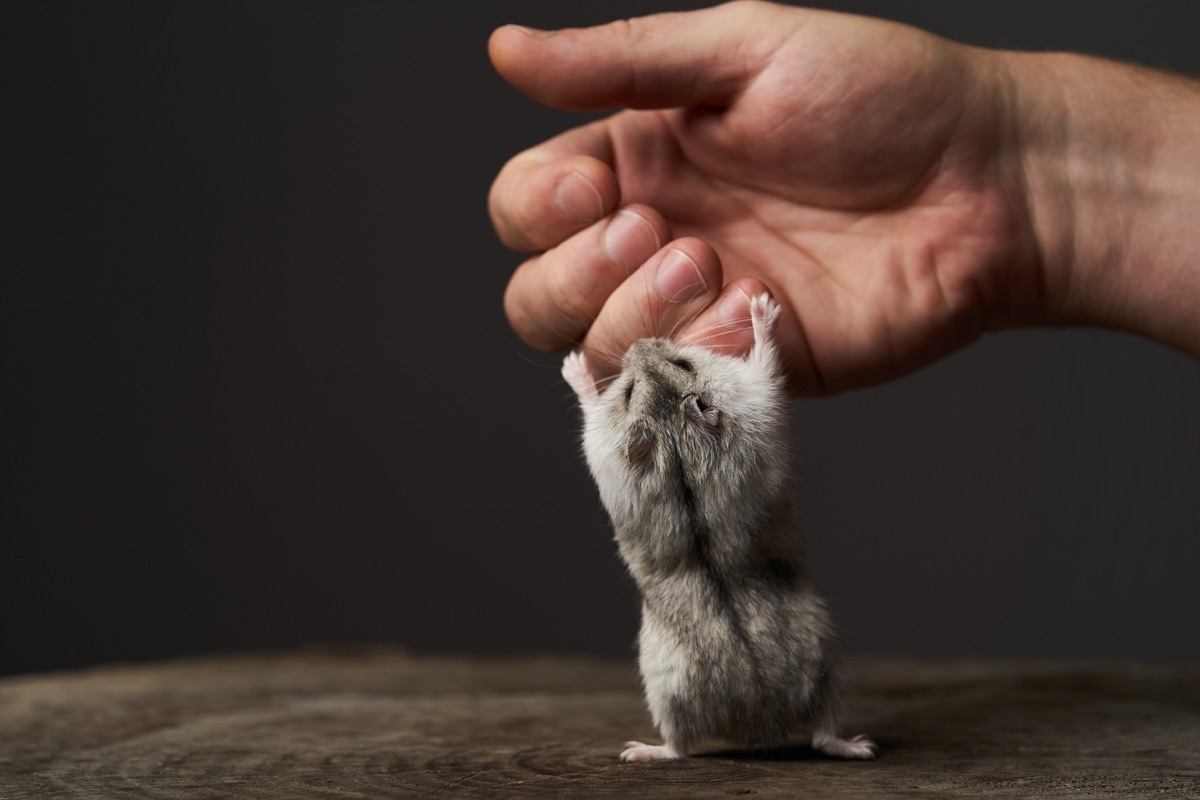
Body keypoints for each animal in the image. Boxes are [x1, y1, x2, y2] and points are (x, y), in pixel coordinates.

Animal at [562, 293, 876, 763]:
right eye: (629, 390)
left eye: (682, 362)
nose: (637, 342)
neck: (674, 428)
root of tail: (760, 720)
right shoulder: (756, 391)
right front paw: (762, 306)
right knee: (686, 746)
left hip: (818, 669)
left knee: (812, 736)